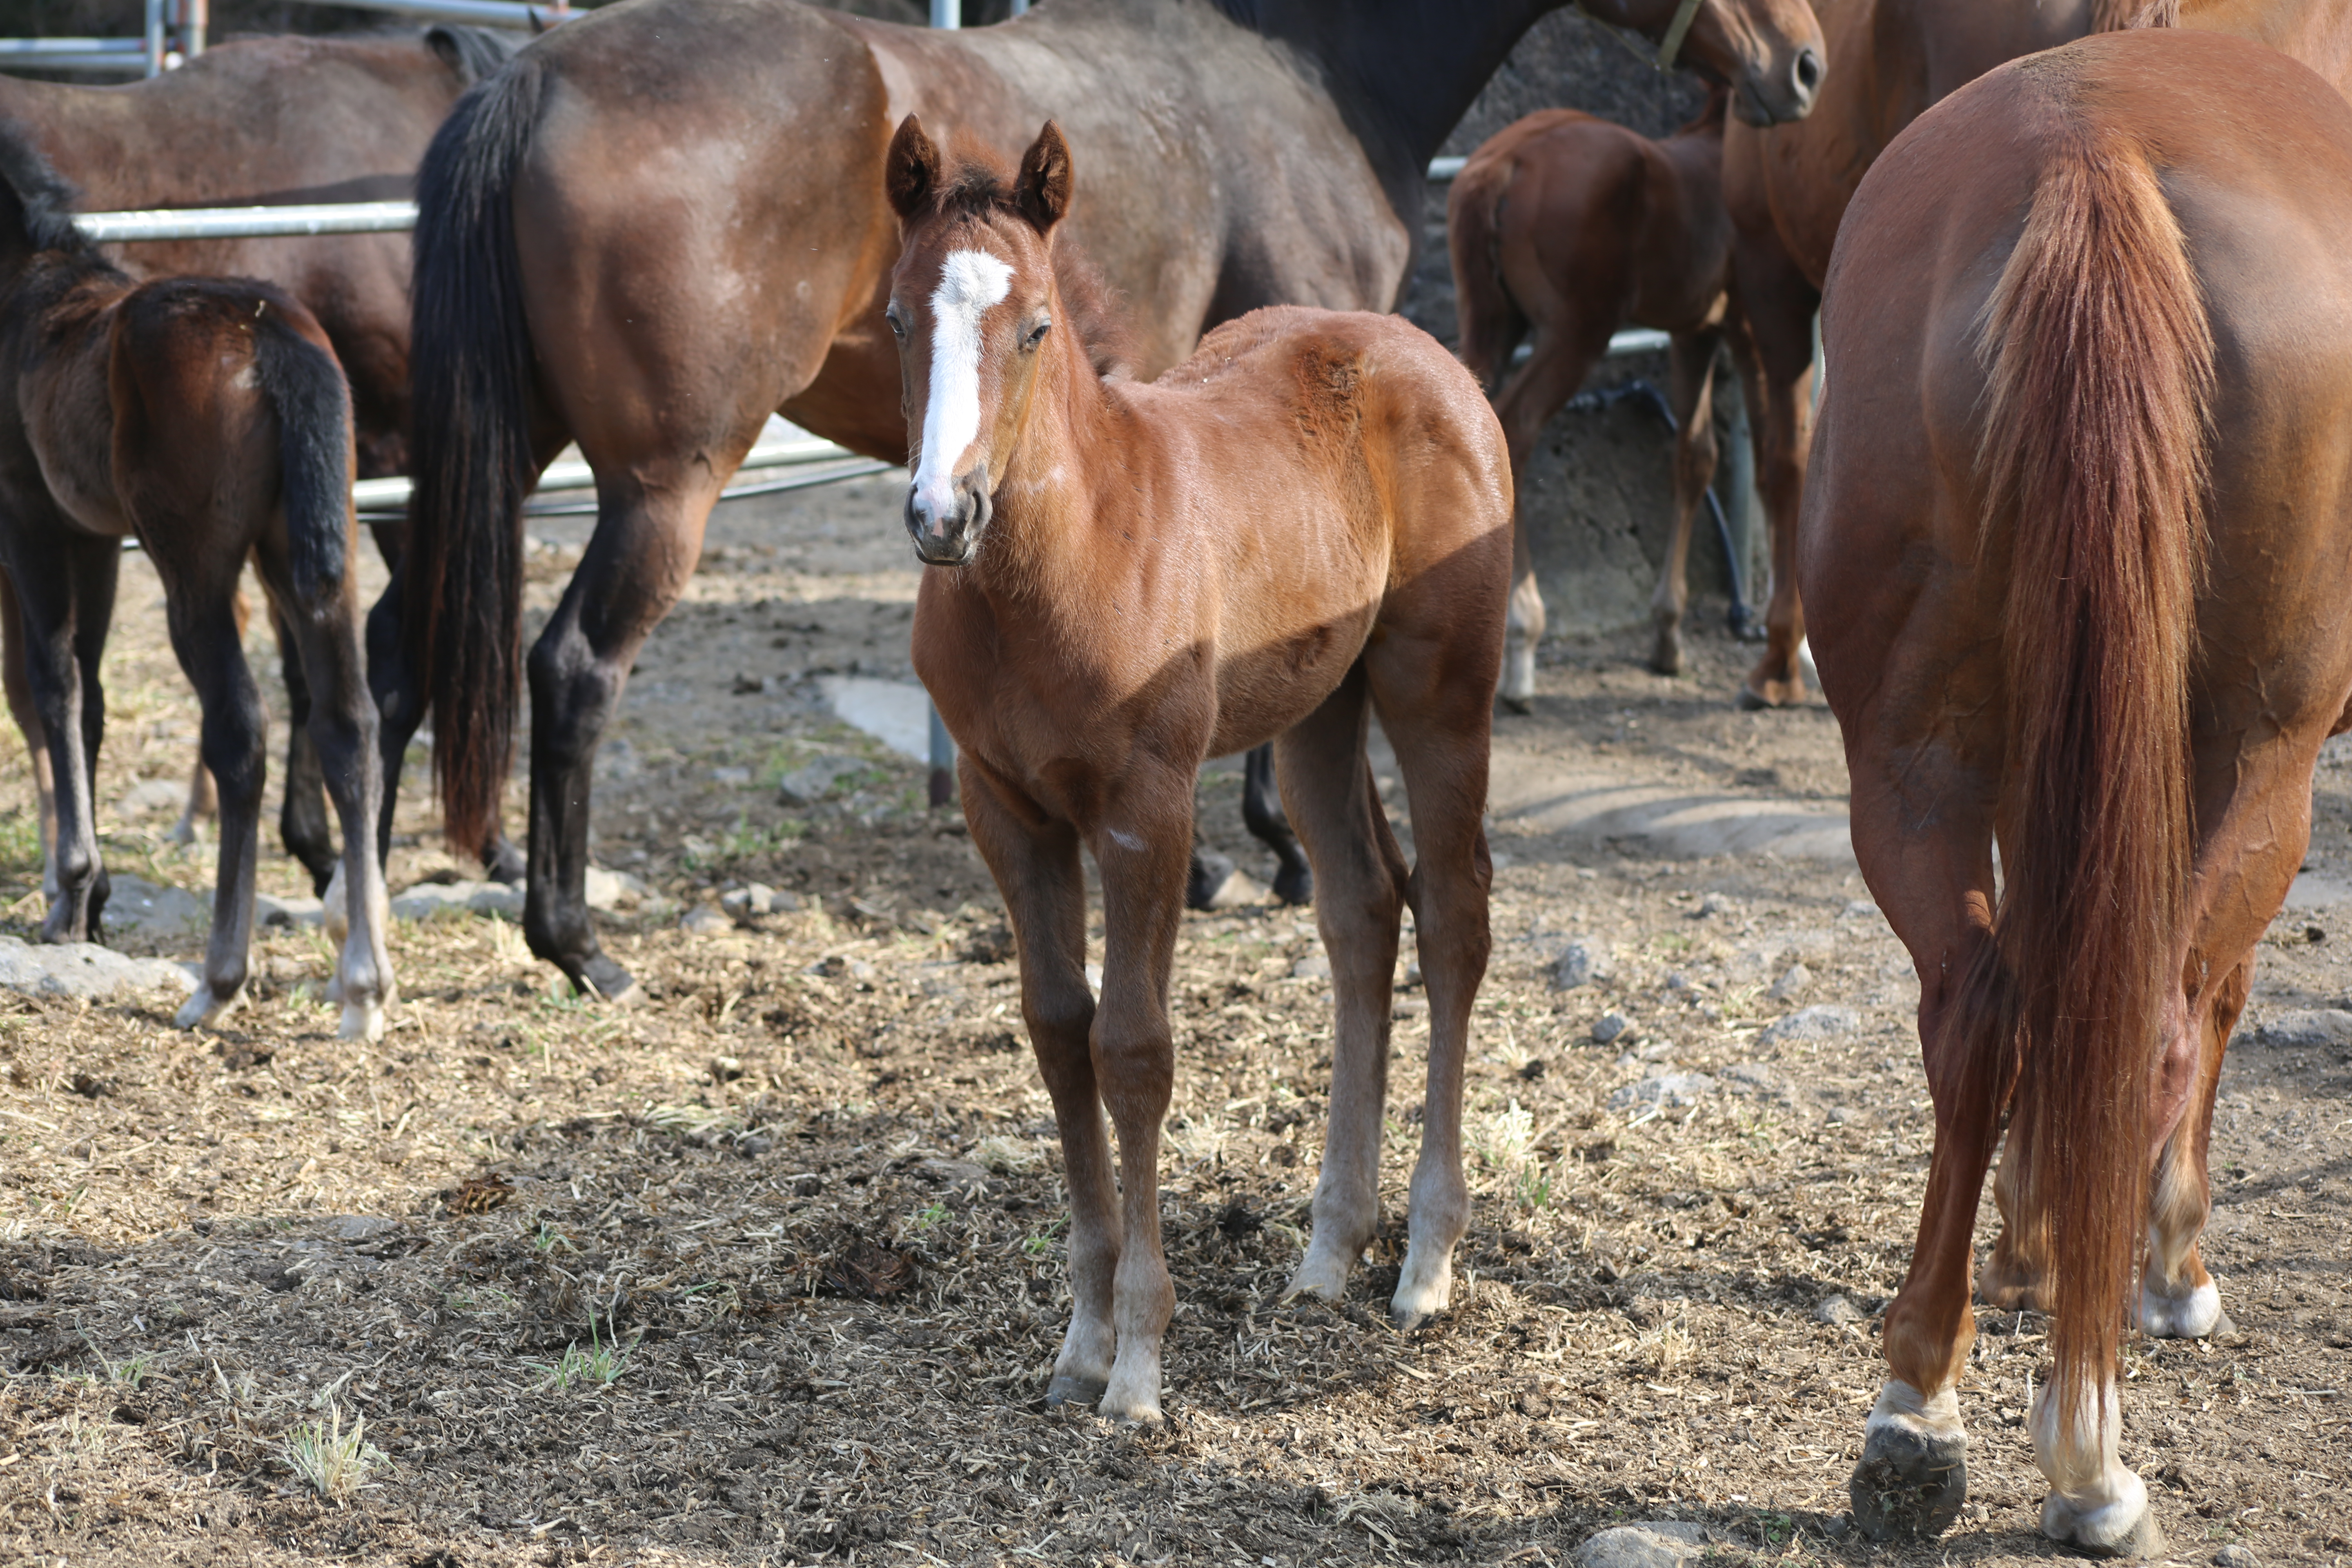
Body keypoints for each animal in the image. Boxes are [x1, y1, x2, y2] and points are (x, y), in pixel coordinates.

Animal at [0, 126, 392, 1044]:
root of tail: (270, 335)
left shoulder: (30, 515)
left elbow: (52, 684)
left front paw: (70, 894)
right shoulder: (94, 538)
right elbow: (92, 698)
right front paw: (93, 899)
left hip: (196, 572)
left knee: (240, 732)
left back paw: (219, 982)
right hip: (312, 563)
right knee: (352, 723)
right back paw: (362, 988)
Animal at [889, 116, 1515, 1420]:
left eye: (1035, 327)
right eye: (893, 318)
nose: (942, 515)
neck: (1060, 560)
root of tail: (1418, 347)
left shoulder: (1149, 806)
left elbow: (1132, 1049)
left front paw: (1137, 1362)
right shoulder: (1004, 807)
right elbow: (1056, 1029)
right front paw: (1078, 1340)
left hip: (1438, 694)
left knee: (1453, 914)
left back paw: (1424, 1264)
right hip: (1319, 712)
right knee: (1361, 910)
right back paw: (1329, 1250)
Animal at [1439, 86, 1740, 700]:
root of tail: (1502, 164)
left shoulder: (1694, 332)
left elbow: (1696, 455)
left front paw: (1668, 636)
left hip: (1491, 321)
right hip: (1577, 330)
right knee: (1516, 426)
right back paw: (1523, 637)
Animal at [1797, 21, 2352, 1561]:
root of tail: (2090, 159)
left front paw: (2034, 1244)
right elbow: (2203, 1004)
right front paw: (2162, 1260)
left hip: (1918, 755)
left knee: (1983, 1010)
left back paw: (1915, 1409)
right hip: (2261, 758)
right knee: (2160, 1014)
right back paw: (2088, 1442)